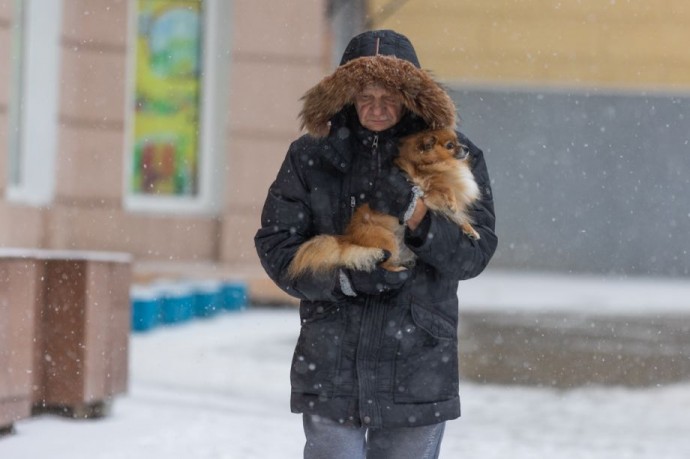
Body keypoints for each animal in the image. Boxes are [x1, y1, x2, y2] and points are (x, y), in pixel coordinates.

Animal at [286, 127, 478, 278]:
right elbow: (446, 189)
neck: (434, 164)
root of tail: (349, 237)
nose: (467, 148)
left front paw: (471, 231)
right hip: (387, 240)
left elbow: (458, 217)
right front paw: (452, 202)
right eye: (450, 145)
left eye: (457, 142)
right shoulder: (426, 191)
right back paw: (396, 270)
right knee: (384, 264)